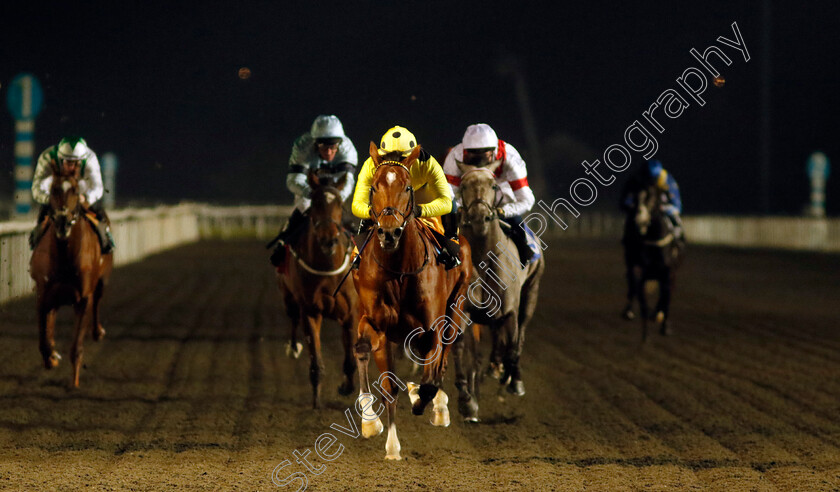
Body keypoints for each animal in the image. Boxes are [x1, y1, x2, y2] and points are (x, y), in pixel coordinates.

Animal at [29, 160, 113, 386]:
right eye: (52, 189)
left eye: (75, 189)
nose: (62, 221)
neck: (65, 256)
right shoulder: (43, 293)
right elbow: (42, 339)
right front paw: (51, 358)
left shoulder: (83, 298)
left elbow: (76, 347)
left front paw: (74, 383)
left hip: (102, 280)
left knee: (98, 300)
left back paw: (98, 332)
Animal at [274, 171, 356, 410]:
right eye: (316, 203)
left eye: (339, 203)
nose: (328, 239)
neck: (328, 268)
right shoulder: (310, 312)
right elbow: (315, 360)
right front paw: (317, 399)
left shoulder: (351, 313)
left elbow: (351, 357)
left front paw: (347, 387)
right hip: (288, 297)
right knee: (292, 318)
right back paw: (293, 348)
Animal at [352, 142, 472, 462]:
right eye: (373, 187)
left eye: (407, 187)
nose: (389, 231)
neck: (400, 272)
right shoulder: (379, 326)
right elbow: (387, 384)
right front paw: (386, 439)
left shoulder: (432, 327)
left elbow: (430, 380)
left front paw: (421, 397)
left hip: (455, 309)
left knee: (442, 359)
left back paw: (438, 406)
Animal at [456, 163, 548, 410]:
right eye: (463, 186)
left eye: (494, 185)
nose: (479, 217)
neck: (483, 258)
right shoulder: (465, 312)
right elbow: (467, 355)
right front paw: (468, 400)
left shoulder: (510, 311)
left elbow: (512, 345)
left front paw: (512, 380)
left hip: (531, 293)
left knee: (519, 335)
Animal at [624, 184, 684, 342]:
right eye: (635, 197)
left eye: (652, 197)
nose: (639, 219)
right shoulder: (640, 274)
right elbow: (643, 302)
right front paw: (645, 336)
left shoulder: (668, 273)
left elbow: (665, 297)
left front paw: (663, 322)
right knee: (632, 285)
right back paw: (629, 312)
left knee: (668, 293)